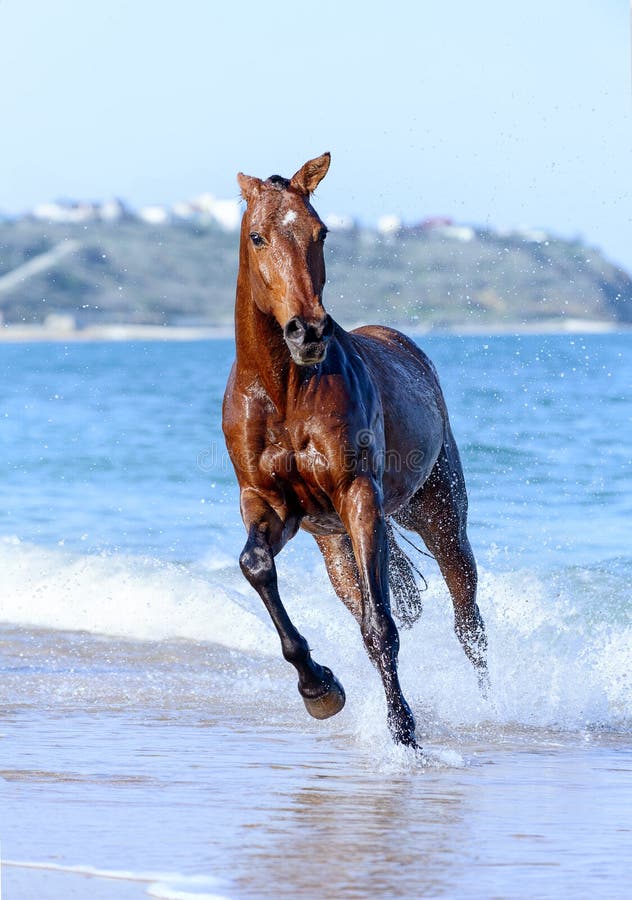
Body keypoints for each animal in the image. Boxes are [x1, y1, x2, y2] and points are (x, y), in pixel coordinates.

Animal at [222, 153, 488, 744]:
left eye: (320, 232)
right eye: (257, 236)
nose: (307, 331)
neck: (285, 391)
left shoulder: (358, 496)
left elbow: (381, 625)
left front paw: (404, 732)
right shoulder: (269, 504)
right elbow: (256, 566)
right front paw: (319, 688)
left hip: (438, 517)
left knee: (468, 623)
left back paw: (490, 705)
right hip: (335, 546)